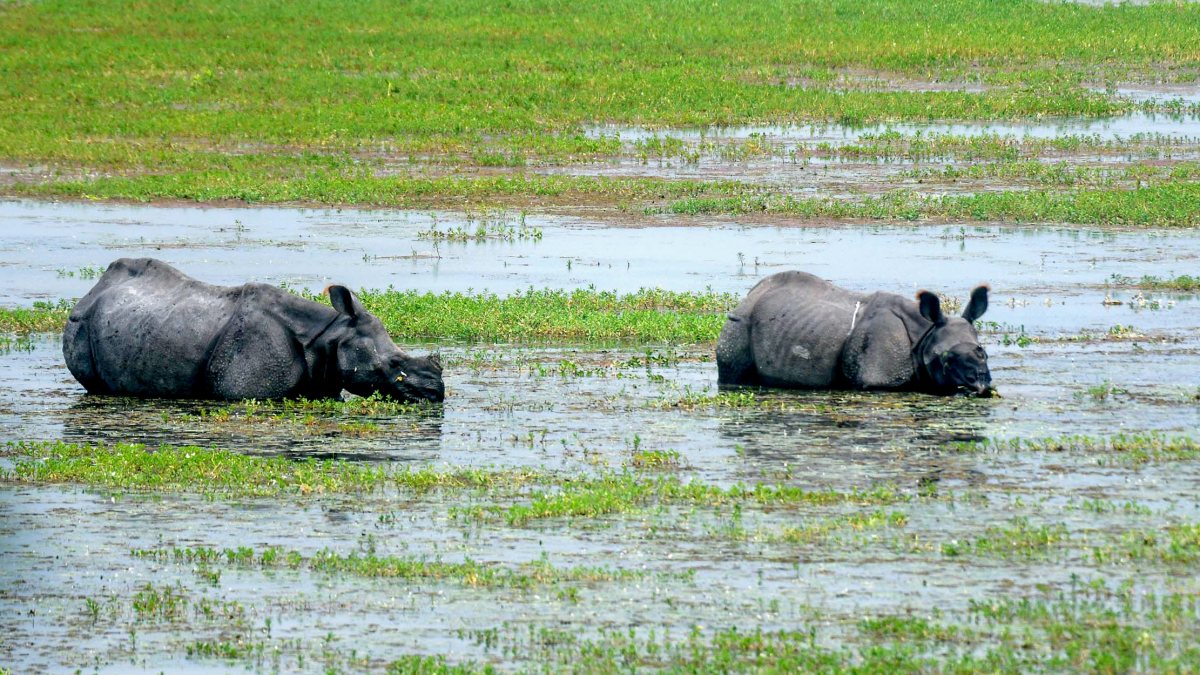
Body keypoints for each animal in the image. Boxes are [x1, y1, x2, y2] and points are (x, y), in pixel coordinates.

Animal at [717, 271, 991, 395]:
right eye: (944, 358)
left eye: (984, 353)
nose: (979, 383)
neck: (925, 332)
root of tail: (750, 295)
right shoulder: (877, 380)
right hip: (739, 323)